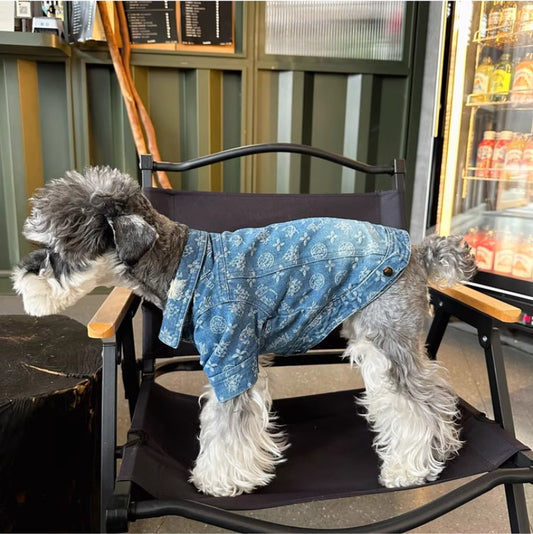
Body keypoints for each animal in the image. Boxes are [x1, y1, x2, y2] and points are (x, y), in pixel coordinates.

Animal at [13, 166, 478, 498]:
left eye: (62, 249)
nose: (22, 278)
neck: (178, 262)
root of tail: (418, 250)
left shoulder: (231, 360)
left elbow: (226, 428)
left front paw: (219, 480)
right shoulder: (234, 362)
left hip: (385, 341)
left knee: (418, 405)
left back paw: (409, 468)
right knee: (434, 397)